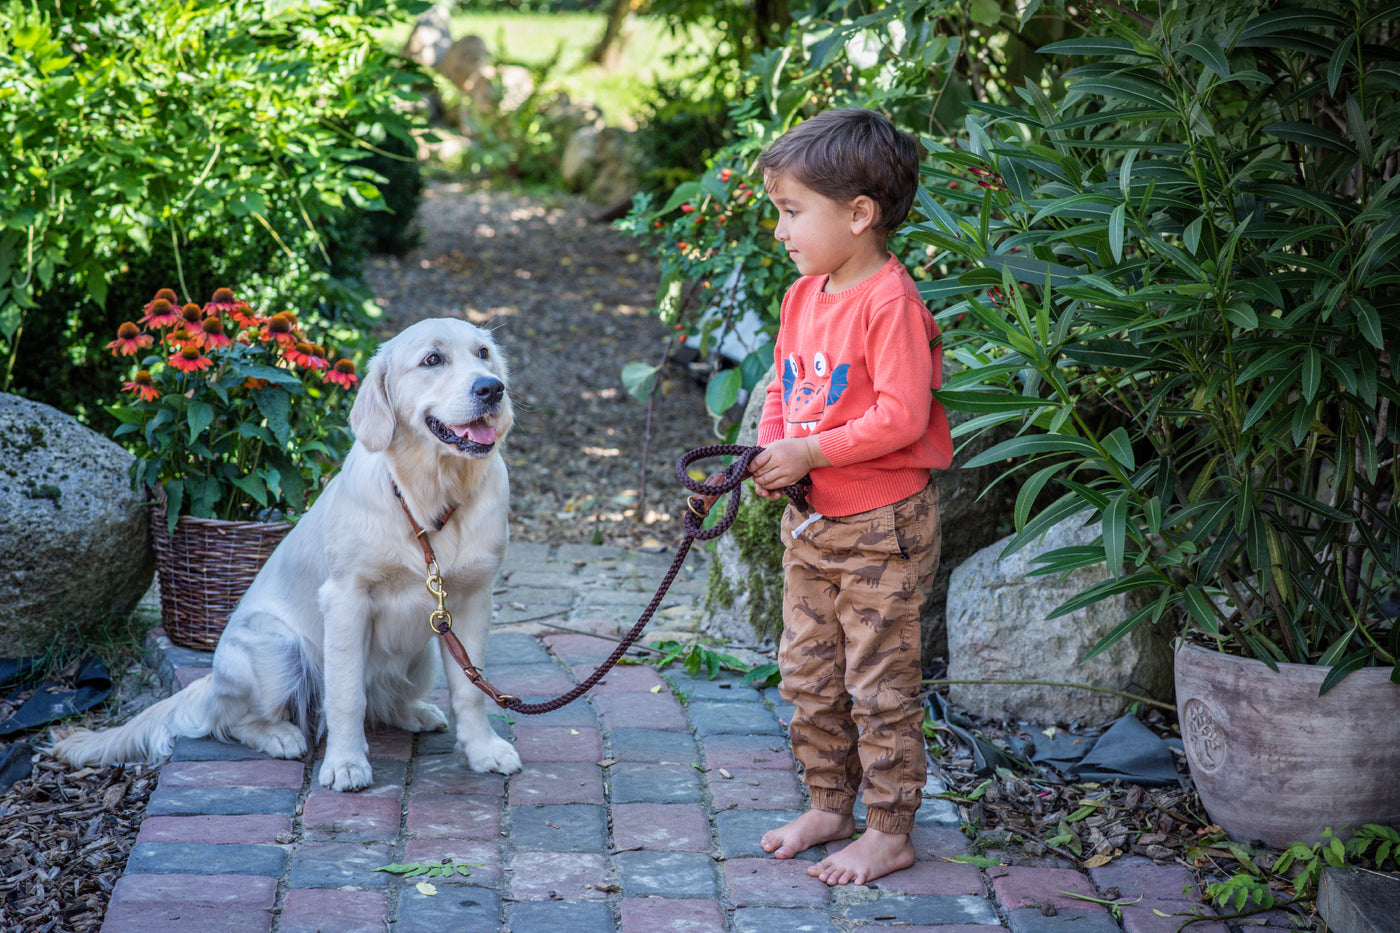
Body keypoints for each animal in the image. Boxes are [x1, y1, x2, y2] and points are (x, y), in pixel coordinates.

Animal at [51, 318, 526, 784]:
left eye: (483, 353)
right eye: (432, 359)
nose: (491, 388)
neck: (429, 496)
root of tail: (211, 682)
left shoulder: (471, 600)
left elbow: (470, 688)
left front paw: (482, 750)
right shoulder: (346, 599)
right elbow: (346, 695)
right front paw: (346, 763)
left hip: (424, 650)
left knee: (386, 699)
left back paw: (415, 713)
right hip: (276, 648)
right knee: (233, 720)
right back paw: (281, 736)